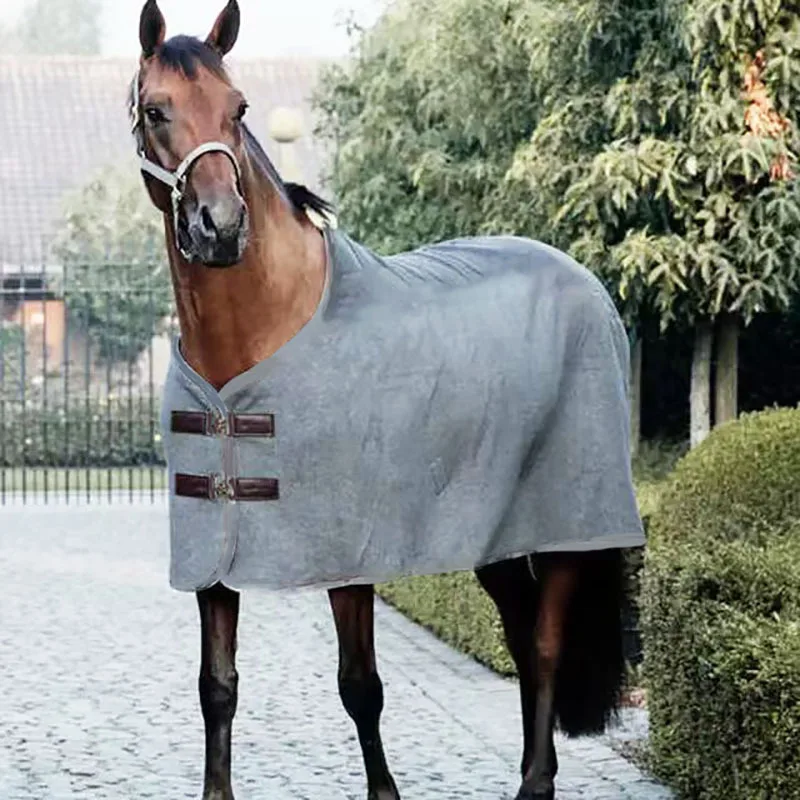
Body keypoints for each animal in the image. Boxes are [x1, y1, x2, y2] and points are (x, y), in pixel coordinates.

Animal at [128, 2, 644, 799]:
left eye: (237, 108)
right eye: (156, 110)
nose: (220, 226)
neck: (263, 330)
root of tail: (582, 279)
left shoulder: (350, 554)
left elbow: (360, 686)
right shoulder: (211, 553)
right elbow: (217, 688)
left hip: (565, 529)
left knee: (546, 646)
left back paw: (534, 783)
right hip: (497, 538)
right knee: (521, 641)